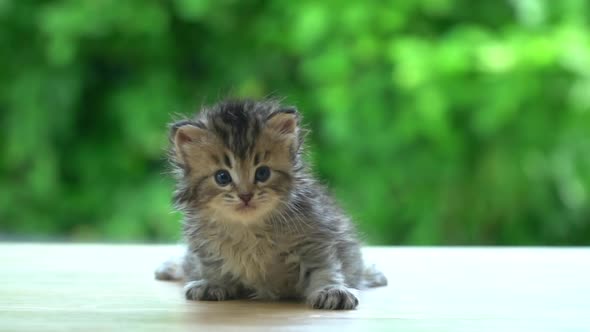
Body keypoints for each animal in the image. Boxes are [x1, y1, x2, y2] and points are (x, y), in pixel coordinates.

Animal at [157, 98, 388, 308]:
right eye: (222, 177)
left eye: (263, 173)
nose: (246, 196)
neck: (248, 229)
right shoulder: (206, 247)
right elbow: (212, 267)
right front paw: (212, 283)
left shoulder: (316, 239)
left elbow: (324, 268)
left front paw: (331, 290)